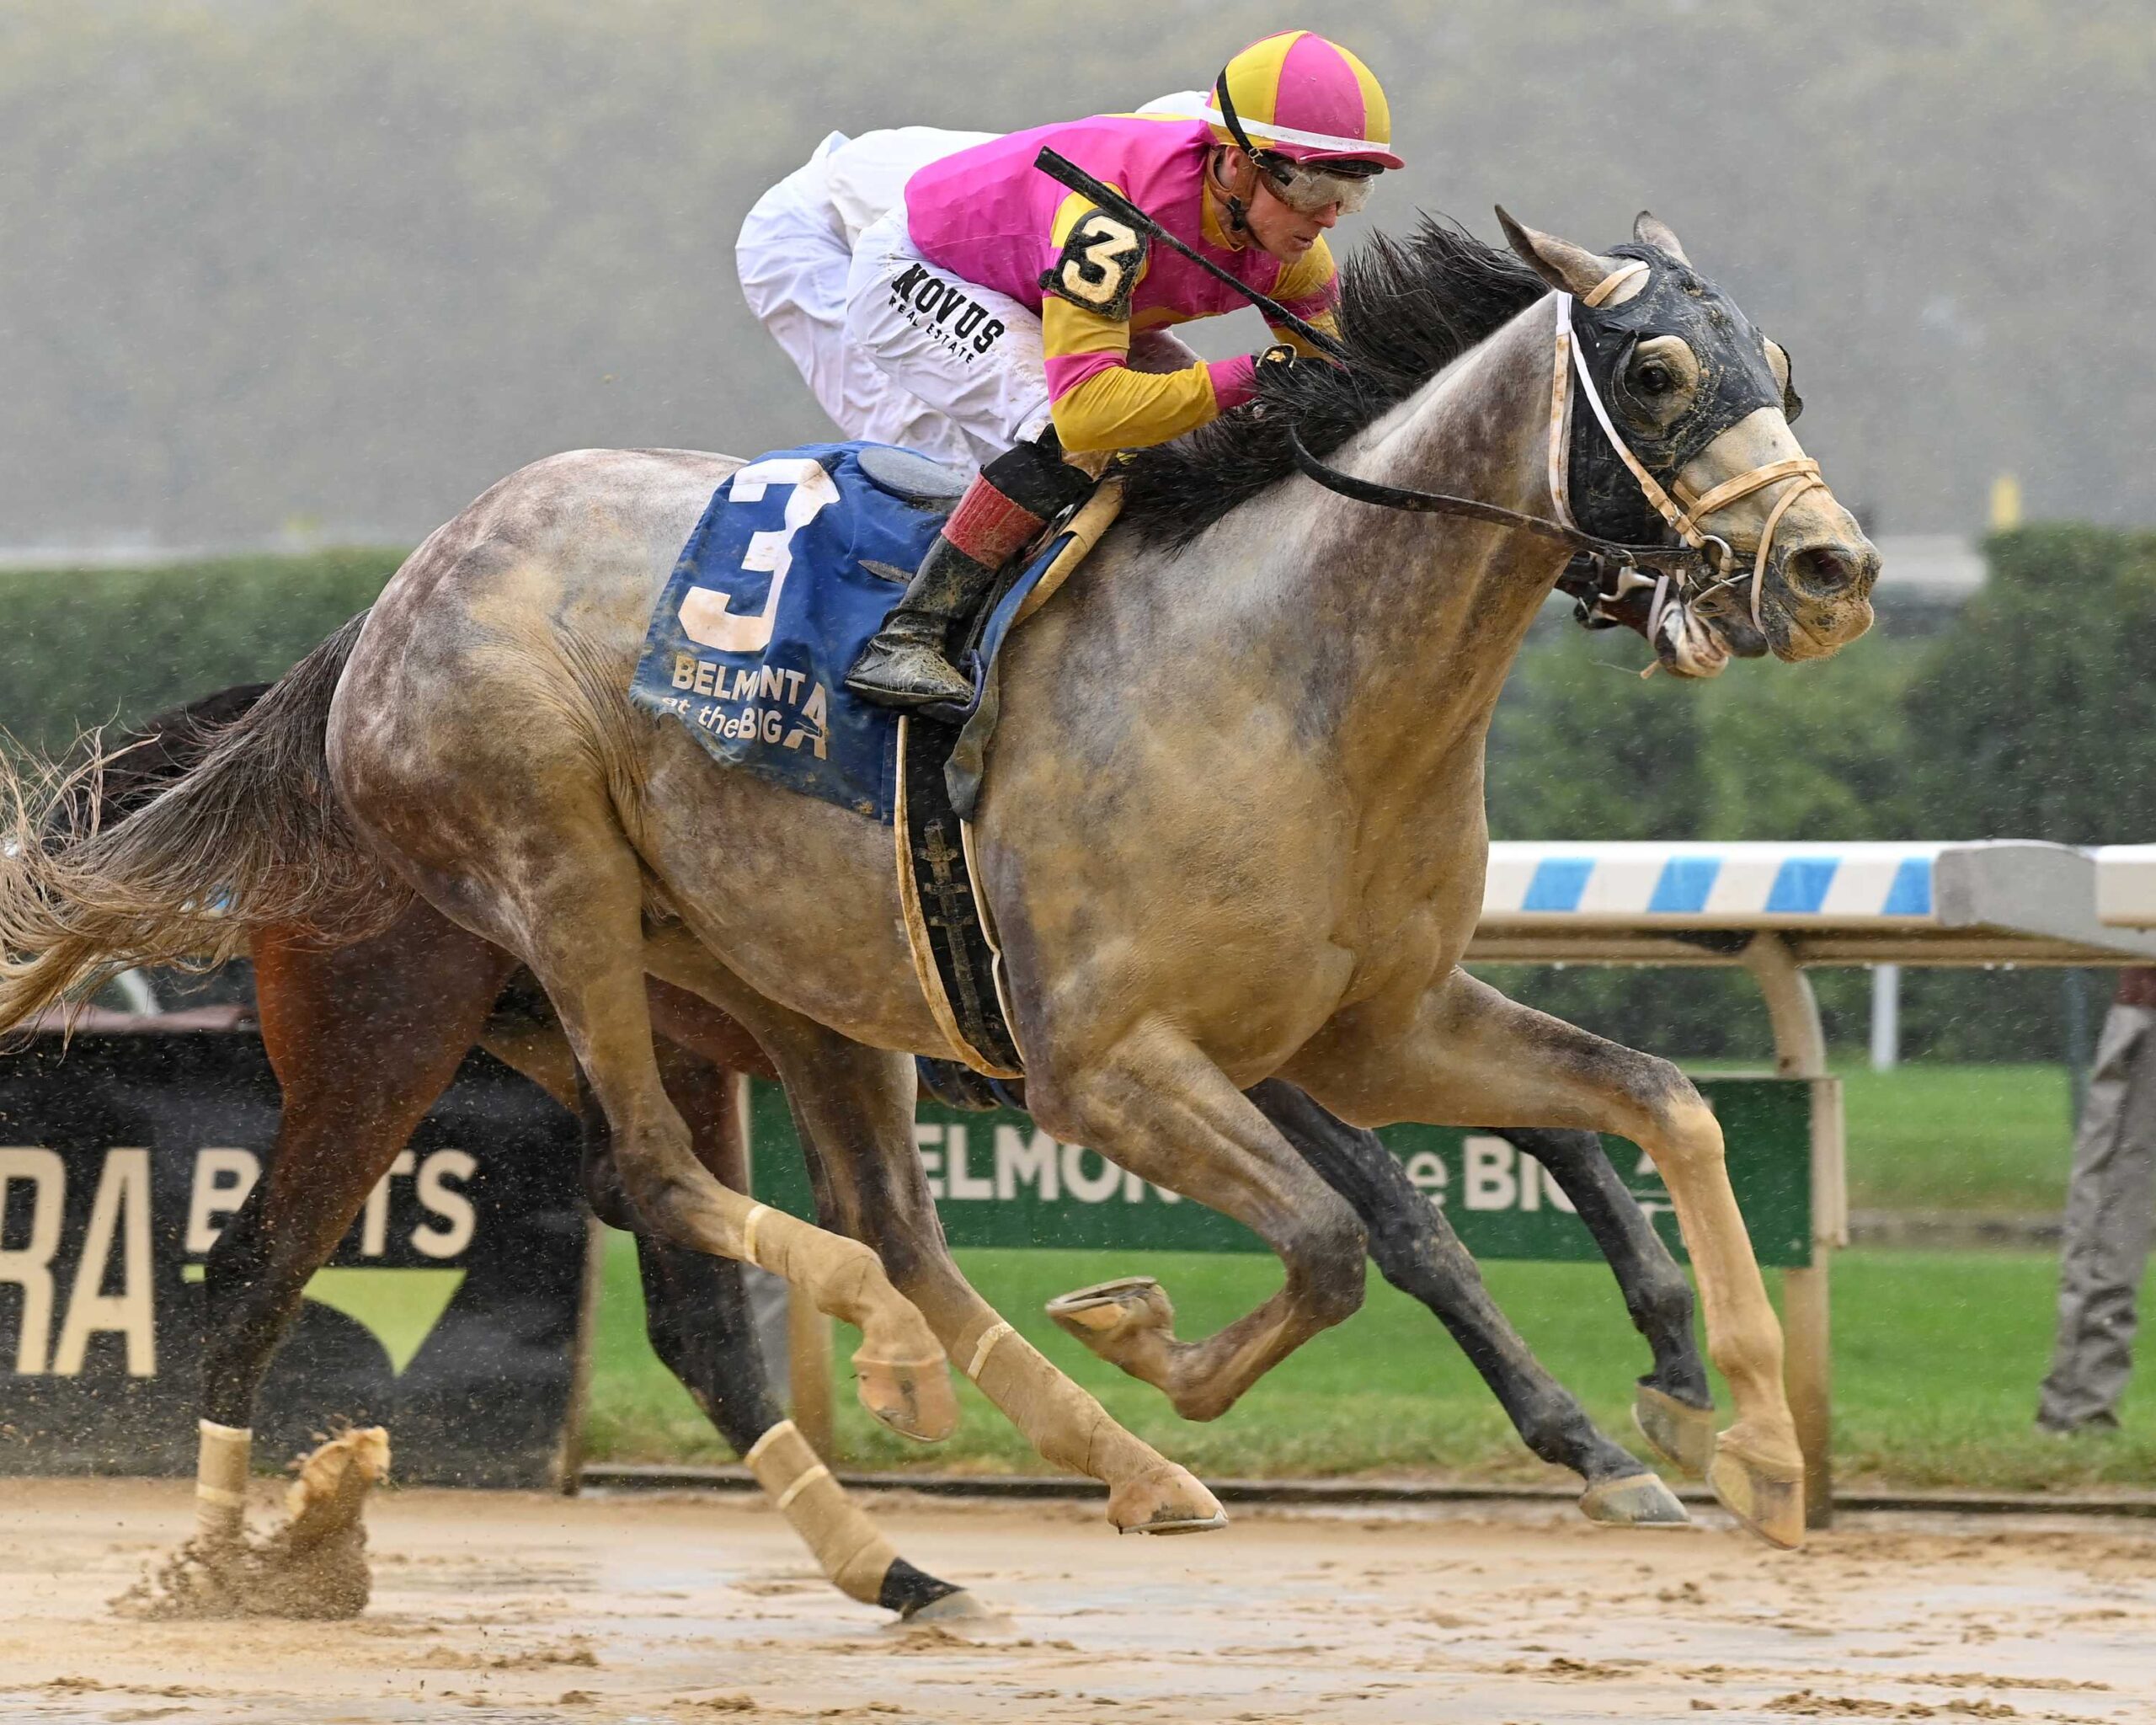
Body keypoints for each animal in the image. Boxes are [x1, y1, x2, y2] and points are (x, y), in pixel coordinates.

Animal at [0, 209, 1874, 1552]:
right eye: (1652, 370)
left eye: (1783, 365)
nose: (1832, 566)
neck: (1290, 672)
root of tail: (376, 614)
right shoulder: (1109, 1059)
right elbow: (1356, 1233)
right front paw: (1149, 1332)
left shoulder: (1373, 1022)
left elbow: (1647, 1108)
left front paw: (1737, 1429)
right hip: (469, 956)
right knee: (458, 1225)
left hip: (760, 994)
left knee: (796, 1240)